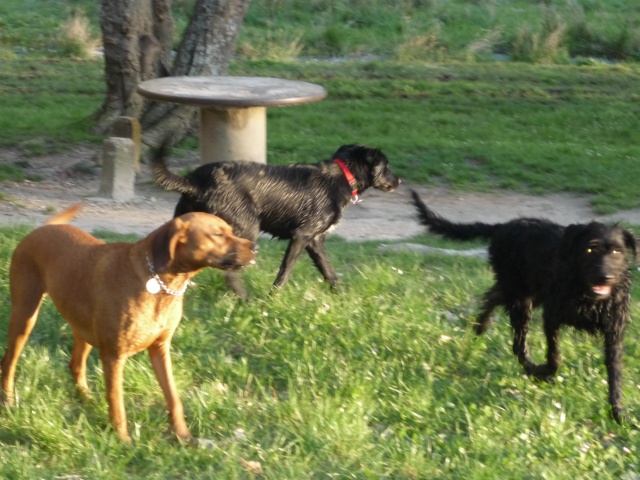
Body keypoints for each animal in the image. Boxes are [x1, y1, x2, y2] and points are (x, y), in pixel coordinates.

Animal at [3, 202, 258, 442]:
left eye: (231, 231)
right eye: (219, 234)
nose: (255, 247)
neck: (161, 285)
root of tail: (42, 228)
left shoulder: (160, 349)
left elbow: (174, 398)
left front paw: (183, 436)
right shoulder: (114, 357)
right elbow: (117, 403)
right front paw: (122, 440)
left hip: (83, 328)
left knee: (75, 364)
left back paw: (85, 397)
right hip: (25, 316)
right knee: (8, 363)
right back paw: (7, 401)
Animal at [152, 144, 398, 298]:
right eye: (387, 166)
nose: (399, 181)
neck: (343, 175)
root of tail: (194, 183)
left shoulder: (315, 241)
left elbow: (329, 271)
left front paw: (341, 296)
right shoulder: (302, 236)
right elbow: (285, 271)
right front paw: (273, 298)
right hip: (247, 230)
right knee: (231, 274)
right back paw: (246, 300)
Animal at [412, 191, 636, 424]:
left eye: (617, 251)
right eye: (590, 249)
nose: (605, 276)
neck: (586, 295)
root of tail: (502, 226)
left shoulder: (614, 330)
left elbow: (615, 372)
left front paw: (617, 412)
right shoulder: (551, 316)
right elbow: (554, 357)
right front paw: (544, 371)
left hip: (525, 292)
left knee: (493, 297)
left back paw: (480, 327)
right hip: (521, 298)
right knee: (517, 344)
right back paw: (531, 368)